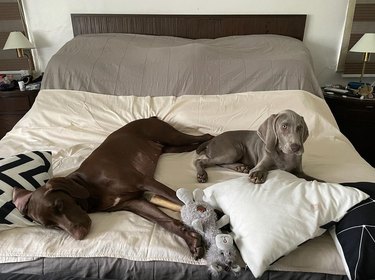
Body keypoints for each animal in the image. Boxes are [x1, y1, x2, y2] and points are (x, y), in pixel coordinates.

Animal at [12, 117, 212, 260]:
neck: (90, 186)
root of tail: (150, 116)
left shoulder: (145, 181)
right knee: (194, 146)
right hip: (170, 148)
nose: (79, 235)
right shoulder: (135, 203)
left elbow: (181, 200)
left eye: (59, 205)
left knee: (207, 136)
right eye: (51, 226)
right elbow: (167, 222)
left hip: (170, 136)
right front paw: (192, 241)